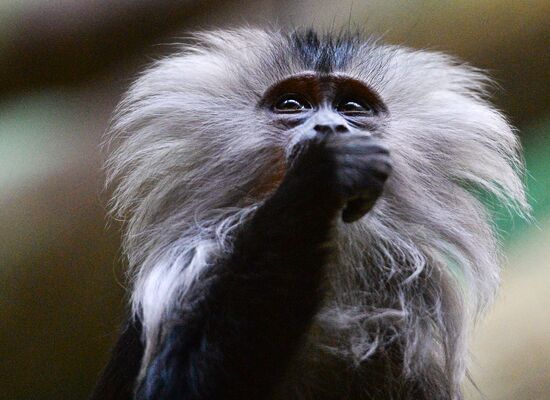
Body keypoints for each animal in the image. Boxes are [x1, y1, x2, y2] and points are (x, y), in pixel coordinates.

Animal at [91, 28, 532, 400]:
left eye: (352, 106)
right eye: (291, 104)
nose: (330, 128)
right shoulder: (188, 271)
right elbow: (175, 385)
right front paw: (326, 172)